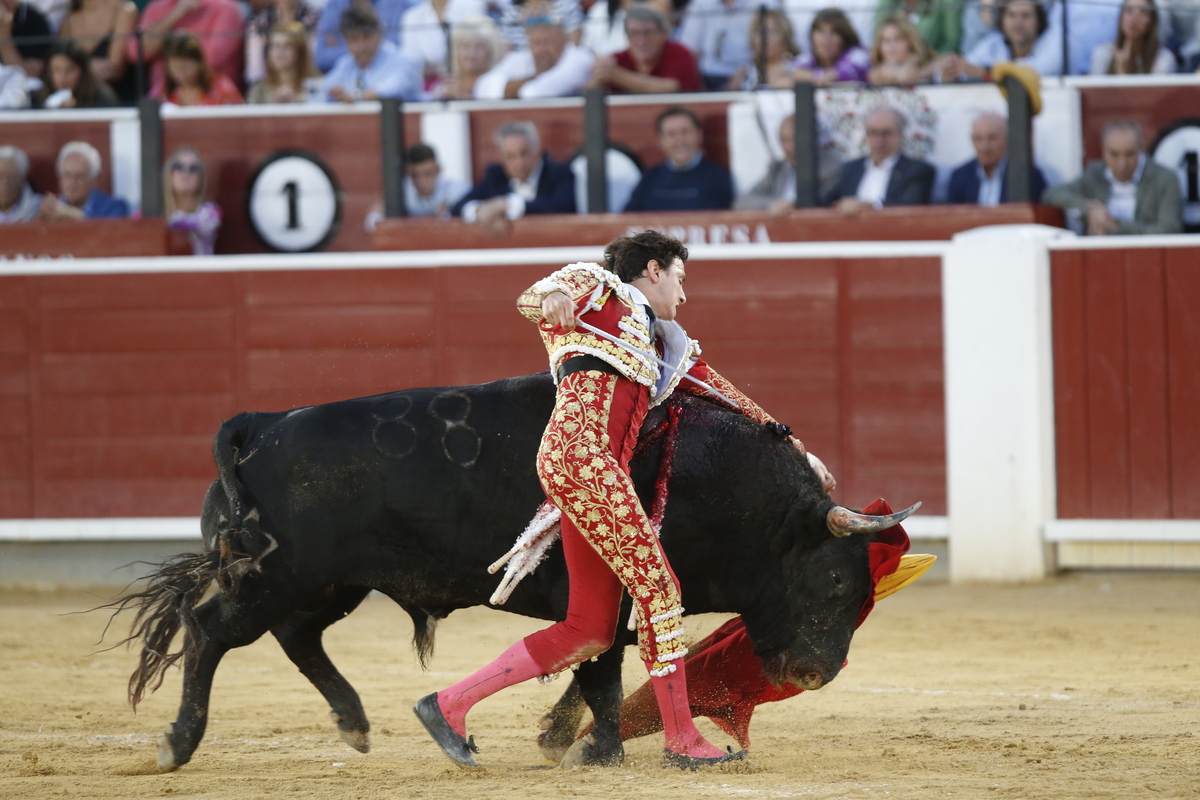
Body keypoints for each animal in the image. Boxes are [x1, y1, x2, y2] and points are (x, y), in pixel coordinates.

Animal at [114, 371, 916, 772]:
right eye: (837, 583)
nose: (817, 673)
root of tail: (259, 426)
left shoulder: (612, 600)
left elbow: (595, 660)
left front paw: (568, 740)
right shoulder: (613, 586)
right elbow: (599, 666)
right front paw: (596, 749)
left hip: (332, 584)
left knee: (296, 637)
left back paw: (356, 725)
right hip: (277, 577)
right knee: (209, 630)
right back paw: (178, 743)